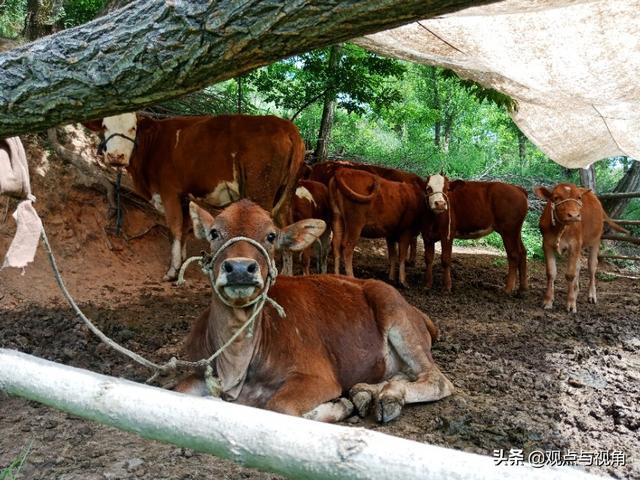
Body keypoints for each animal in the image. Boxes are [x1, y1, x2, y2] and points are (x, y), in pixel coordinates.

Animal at [85, 113, 304, 282]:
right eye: (104, 126)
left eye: (132, 128)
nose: (116, 156)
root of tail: (285, 125)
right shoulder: (184, 197)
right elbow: (183, 228)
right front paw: (181, 261)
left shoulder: (169, 192)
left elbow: (174, 227)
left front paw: (172, 271)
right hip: (284, 198)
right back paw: (286, 273)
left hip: (261, 192)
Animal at [178, 199, 452, 424]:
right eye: (214, 232)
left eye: (271, 236)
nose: (239, 268)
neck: (235, 371)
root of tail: (417, 311)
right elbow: (180, 390)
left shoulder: (318, 376)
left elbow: (279, 406)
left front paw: (338, 406)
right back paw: (368, 392)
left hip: (398, 316)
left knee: (437, 379)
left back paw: (386, 397)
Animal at [532, 182, 628, 314]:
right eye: (556, 198)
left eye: (579, 197)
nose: (574, 215)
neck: (561, 228)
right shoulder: (546, 244)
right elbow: (551, 273)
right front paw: (548, 301)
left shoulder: (574, 244)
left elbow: (570, 274)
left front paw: (571, 304)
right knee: (578, 265)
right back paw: (576, 290)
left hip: (595, 240)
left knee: (592, 266)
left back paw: (591, 295)